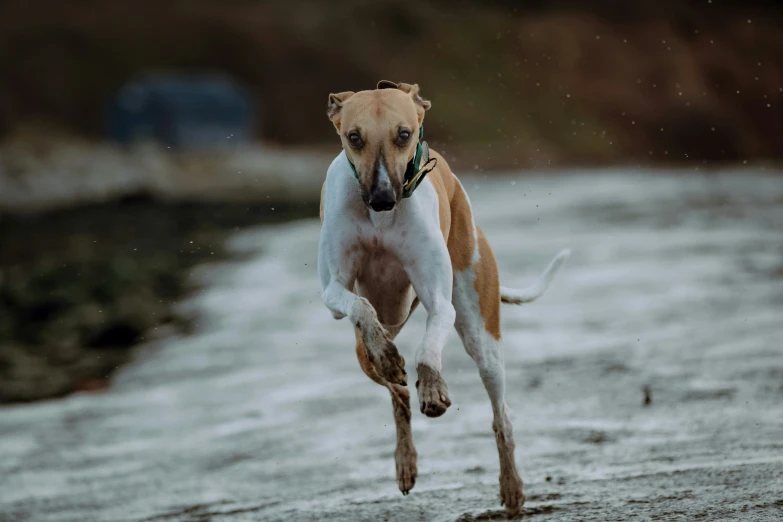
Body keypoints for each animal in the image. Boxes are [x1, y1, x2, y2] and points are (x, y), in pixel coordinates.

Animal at [318, 79, 568, 512]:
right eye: (354, 137)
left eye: (404, 134)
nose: (382, 198)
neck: (380, 220)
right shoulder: (333, 290)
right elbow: (359, 307)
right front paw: (391, 358)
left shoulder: (439, 300)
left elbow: (429, 344)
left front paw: (433, 386)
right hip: (363, 349)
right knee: (396, 391)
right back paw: (405, 456)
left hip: (483, 339)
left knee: (501, 416)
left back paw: (512, 486)